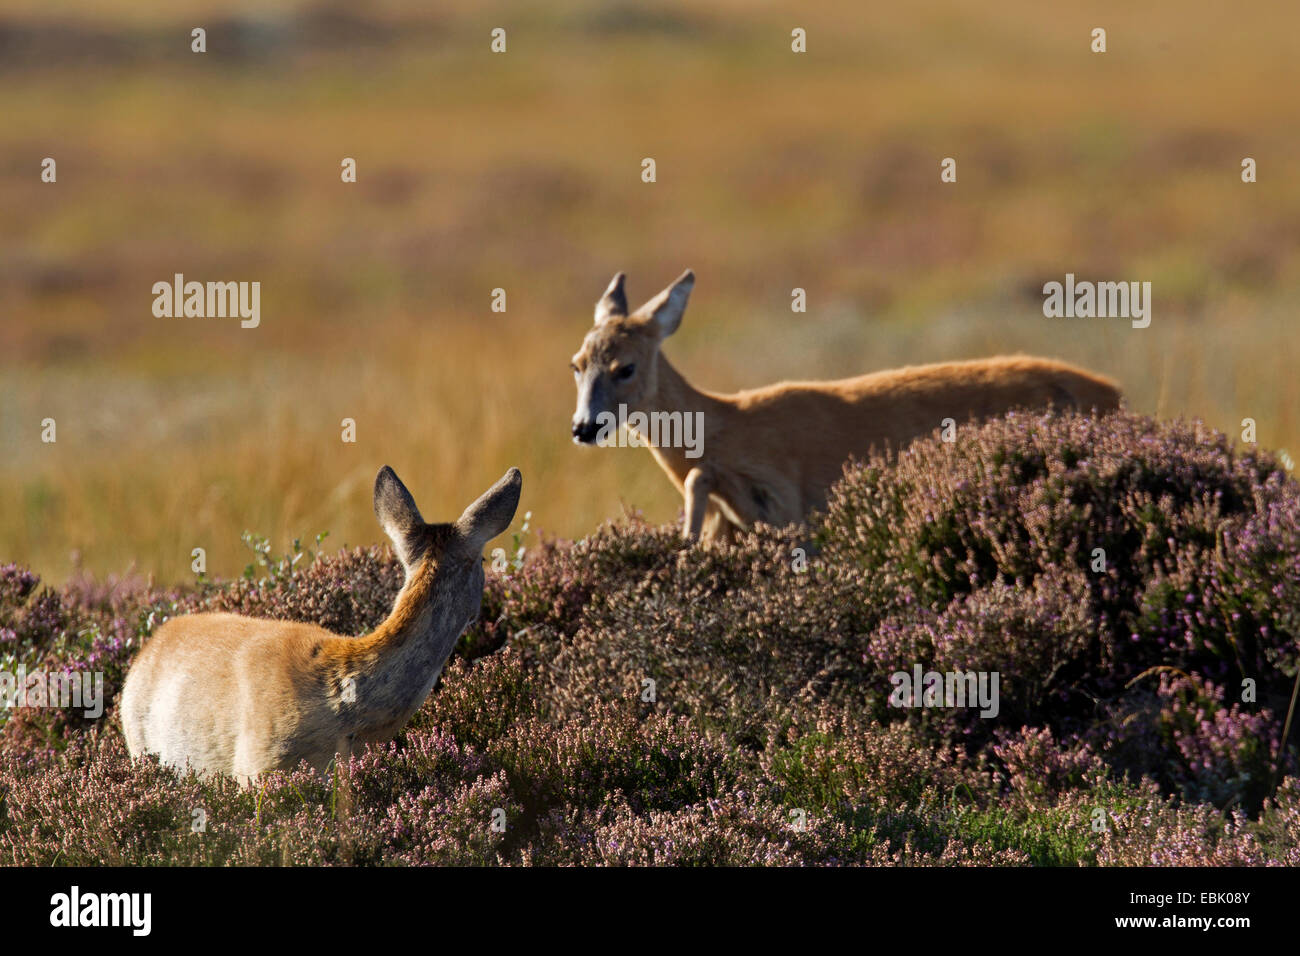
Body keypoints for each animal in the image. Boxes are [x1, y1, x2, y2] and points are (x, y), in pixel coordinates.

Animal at [570, 270, 1121, 544]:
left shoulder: (791, 507)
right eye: (576, 364)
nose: (583, 427)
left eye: (625, 367)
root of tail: (1113, 392)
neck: (725, 425)